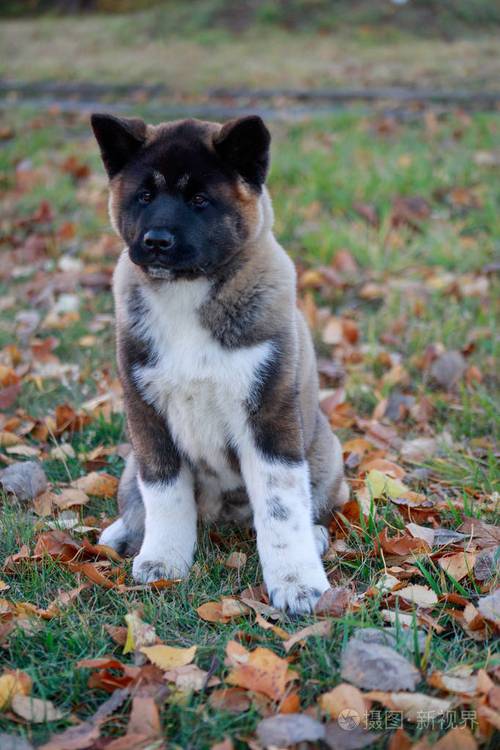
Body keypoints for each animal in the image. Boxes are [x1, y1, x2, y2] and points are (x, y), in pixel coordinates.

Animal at [91, 114, 348, 612]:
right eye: (144, 196)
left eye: (199, 200)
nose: (156, 241)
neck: (188, 293)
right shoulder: (147, 416)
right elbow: (164, 495)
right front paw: (163, 560)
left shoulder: (269, 416)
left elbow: (281, 509)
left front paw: (297, 585)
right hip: (131, 460)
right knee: (136, 500)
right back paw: (122, 533)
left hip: (325, 453)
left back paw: (316, 537)